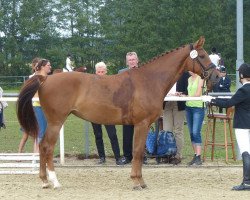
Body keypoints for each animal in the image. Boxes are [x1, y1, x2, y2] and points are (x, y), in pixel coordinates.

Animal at [16, 37, 219, 189]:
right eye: (202, 55)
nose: (218, 76)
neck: (149, 80)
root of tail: (45, 79)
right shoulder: (142, 124)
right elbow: (137, 152)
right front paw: (137, 181)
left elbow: (138, 152)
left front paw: (139, 180)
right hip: (56, 122)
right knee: (46, 147)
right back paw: (53, 181)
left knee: (43, 146)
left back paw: (45, 181)